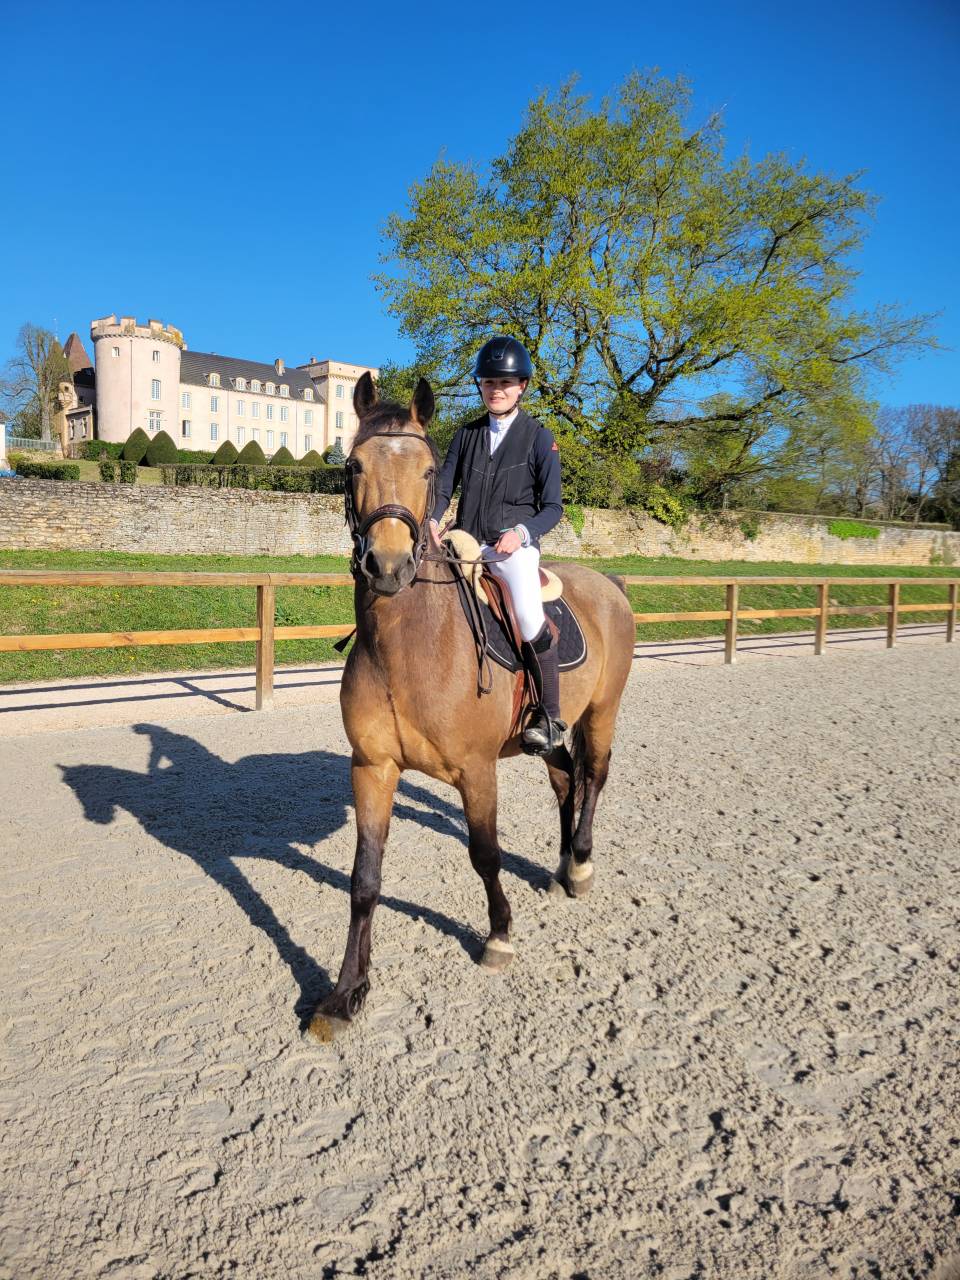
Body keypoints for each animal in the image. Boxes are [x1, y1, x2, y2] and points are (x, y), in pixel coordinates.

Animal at [305, 373, 636, 1041]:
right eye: (353, 466)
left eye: (430, 471)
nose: (387, 566)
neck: (409, 645)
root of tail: (608, 584)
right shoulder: (372, 769)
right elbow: (364, 880)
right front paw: (346, 993)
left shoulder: (476, 772)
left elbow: (484, 854)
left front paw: (500, 935)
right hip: (551, 734)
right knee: (567, 780)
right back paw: (562, 863)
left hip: (601, 713)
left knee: (594, 776)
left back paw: (581, 865)